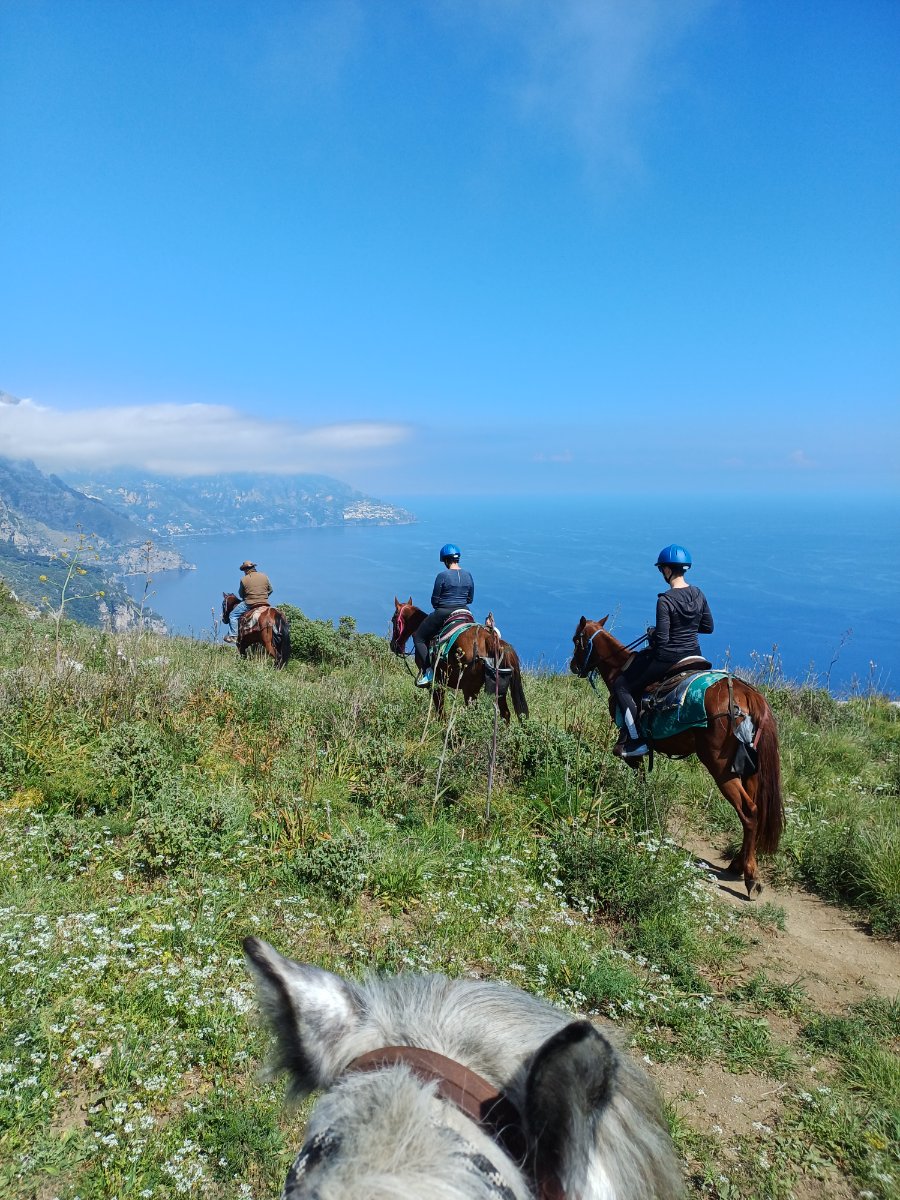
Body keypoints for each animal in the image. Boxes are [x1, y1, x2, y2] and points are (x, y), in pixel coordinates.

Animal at [390, 598, 529, 723]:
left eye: (393, 620)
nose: (393, 646)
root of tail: (491, 640)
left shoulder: (436, 682)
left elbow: (439, 706)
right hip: (498, 690)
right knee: (505, 713)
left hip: (470, 689)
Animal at [571, 616, 784, 897]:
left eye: (576, 640)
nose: (573, 666)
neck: (620, 667)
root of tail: (747, 695)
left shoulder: (631, 748)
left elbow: (638, 774)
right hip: (749, 768)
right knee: (754, 811)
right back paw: (738, 864)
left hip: (720, 766)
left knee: (748, 811)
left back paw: (750, 876)